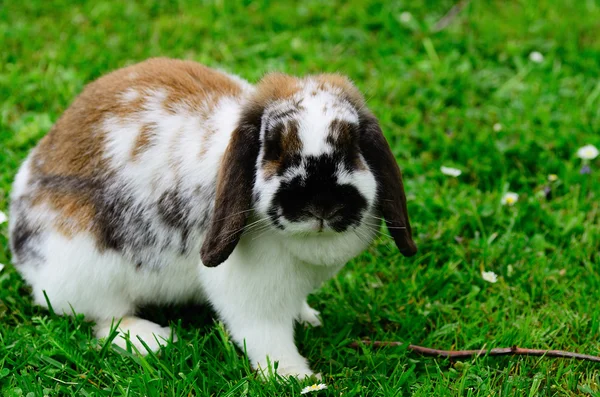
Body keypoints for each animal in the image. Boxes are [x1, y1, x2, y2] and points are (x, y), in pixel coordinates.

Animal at [8, 57, 418, 378]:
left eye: (354, 148)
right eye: (273, 148)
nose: (321, 205)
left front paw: (307, 316)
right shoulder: (250, 295)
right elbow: (267, 337)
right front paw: (294, 377)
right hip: (88, 272)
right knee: (104, 318)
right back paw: (153, 338)